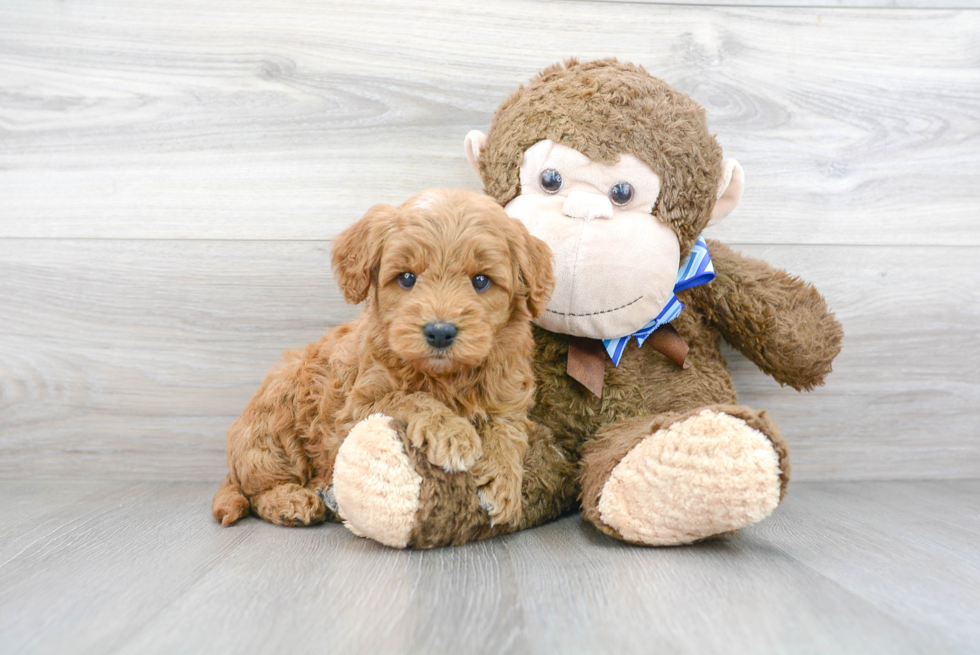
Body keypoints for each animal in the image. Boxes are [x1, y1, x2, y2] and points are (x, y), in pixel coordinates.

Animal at [212, 187, 556, 532]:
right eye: (406, 278)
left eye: (481, 281)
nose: (440, 332)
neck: (447, 377)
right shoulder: (357, 407)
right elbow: (409, 398)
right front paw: (454, 433)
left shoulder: (508, 399)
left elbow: (506, 433)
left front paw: (502, 484)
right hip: (274, 426)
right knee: (259, 487)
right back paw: (292, 501)